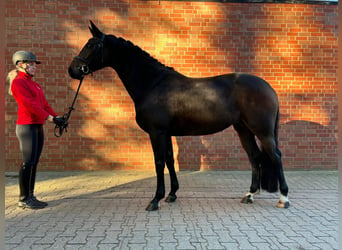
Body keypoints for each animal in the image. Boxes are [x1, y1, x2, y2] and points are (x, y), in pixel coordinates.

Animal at [69, 21, 288, 211]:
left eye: (92, 45)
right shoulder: (166, 133)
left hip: (262, 131)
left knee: (276, 156)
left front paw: (155, 200)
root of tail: (268, 87)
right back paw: (249, 195)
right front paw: (172, 194)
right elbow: (169, 160)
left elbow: (159, 162)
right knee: (255, 156)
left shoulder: (157, 132)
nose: (73, 70)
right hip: (243, 129)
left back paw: (283, 199)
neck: (153, 83)